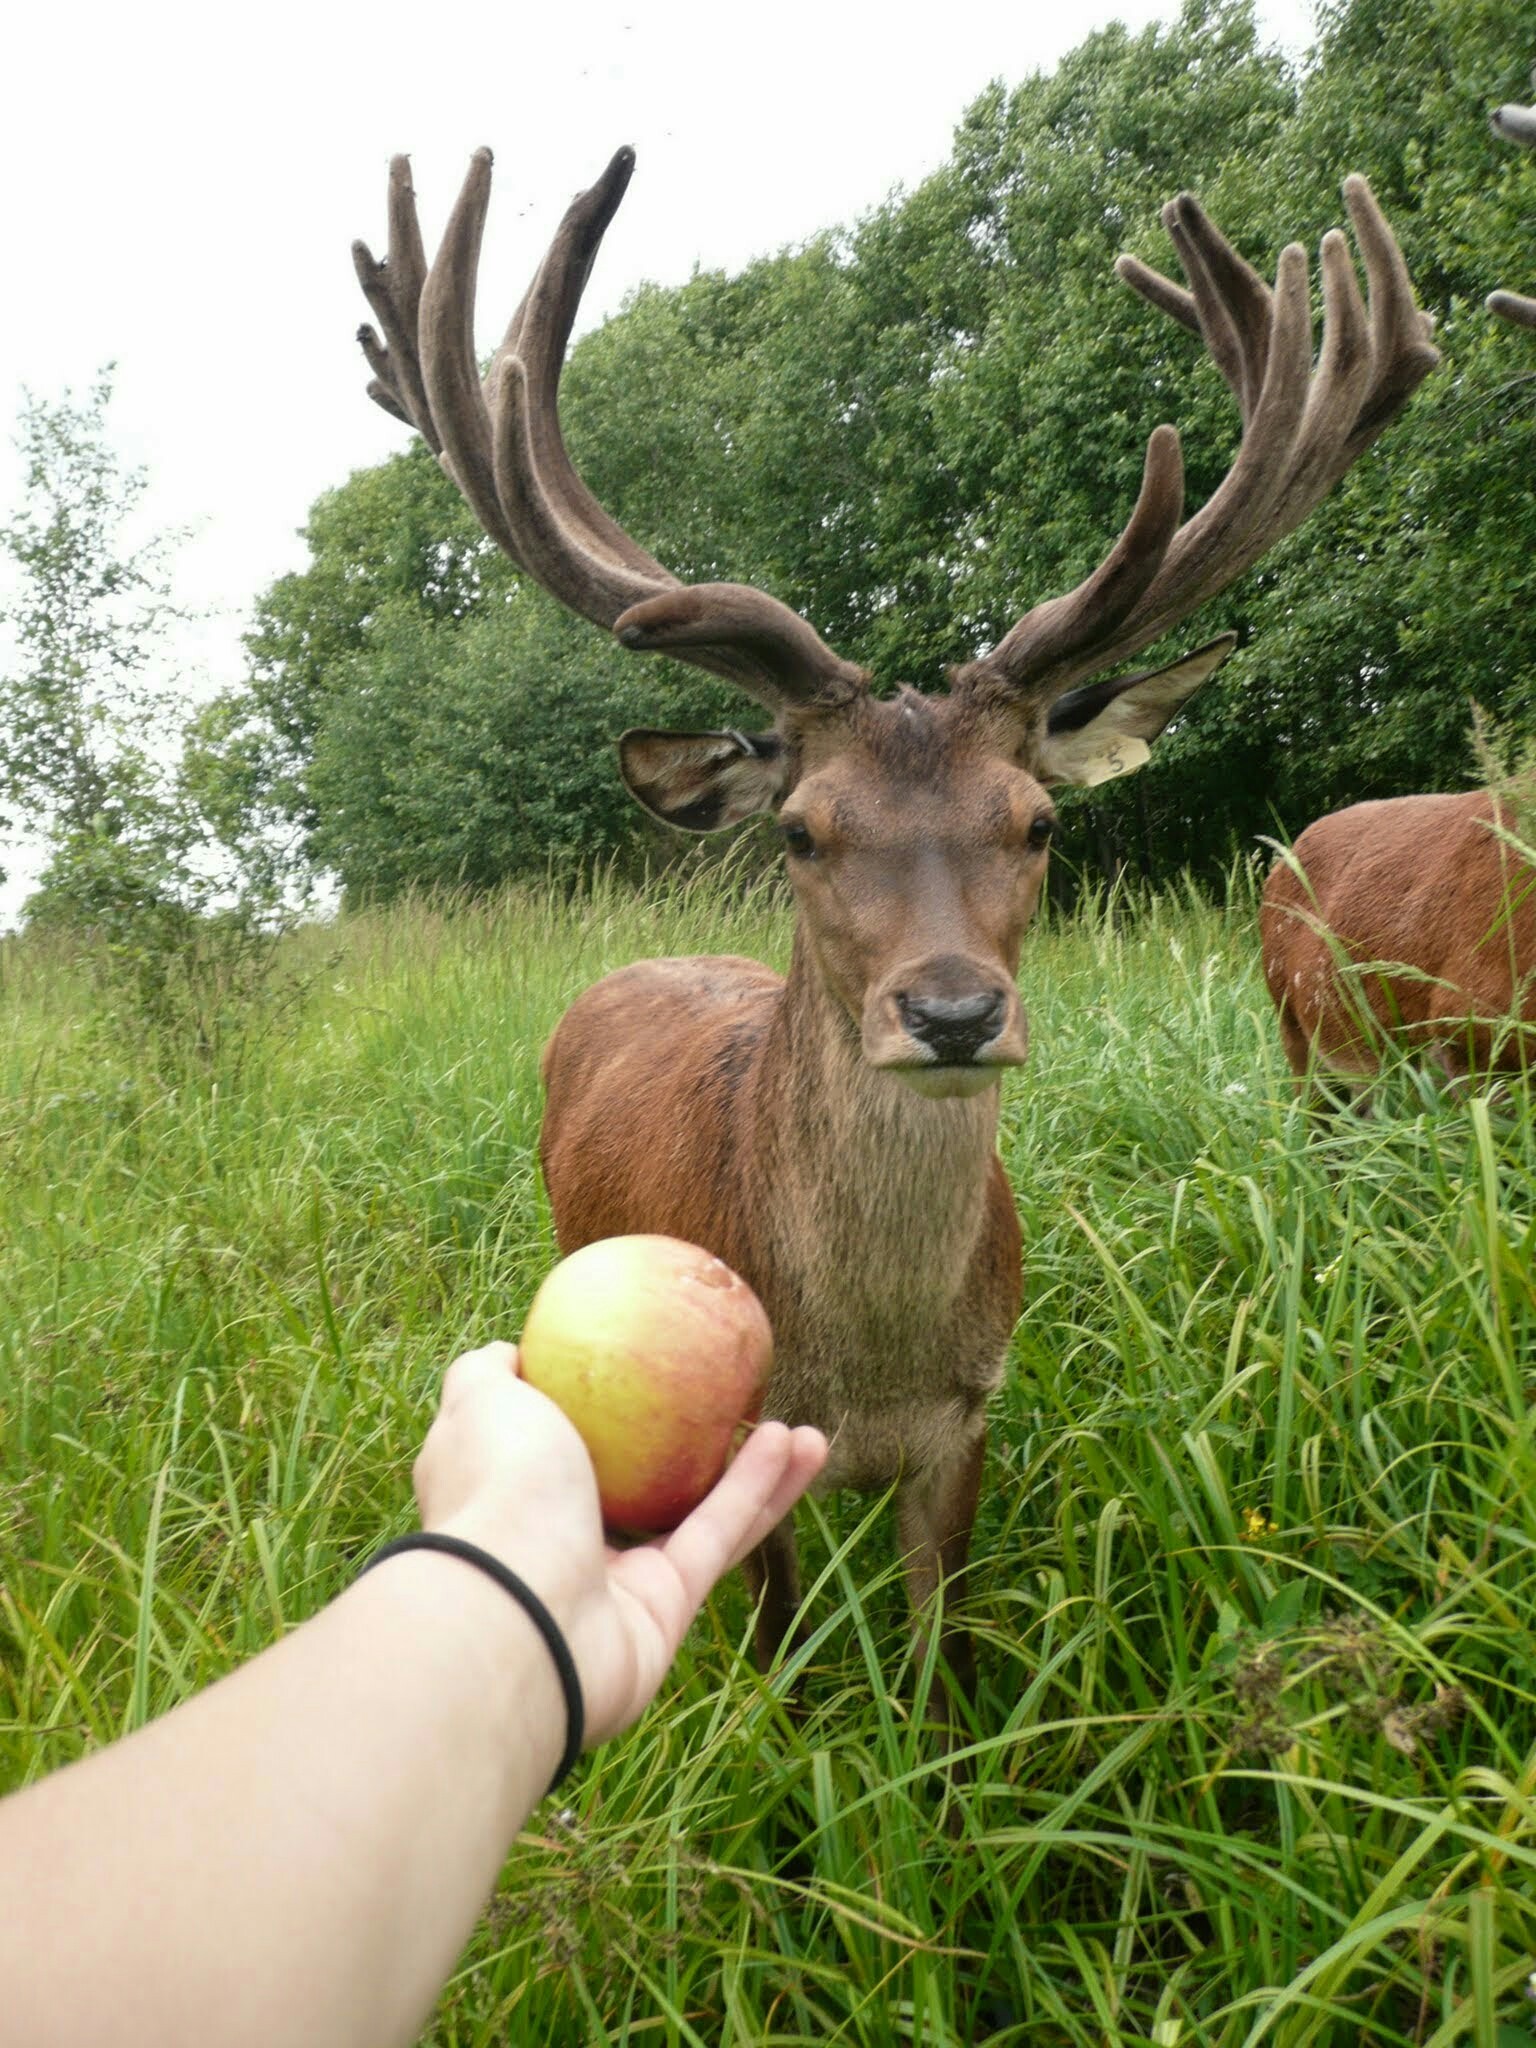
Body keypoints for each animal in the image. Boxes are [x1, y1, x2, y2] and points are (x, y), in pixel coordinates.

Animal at [354, 151, 1441, 1703]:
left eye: (1037, 823)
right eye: (801, 831)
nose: (952, 1011)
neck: (862, 1370)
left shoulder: (970, 1420)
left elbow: (943, 1666)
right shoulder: (753, 1457)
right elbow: (781, 1655)